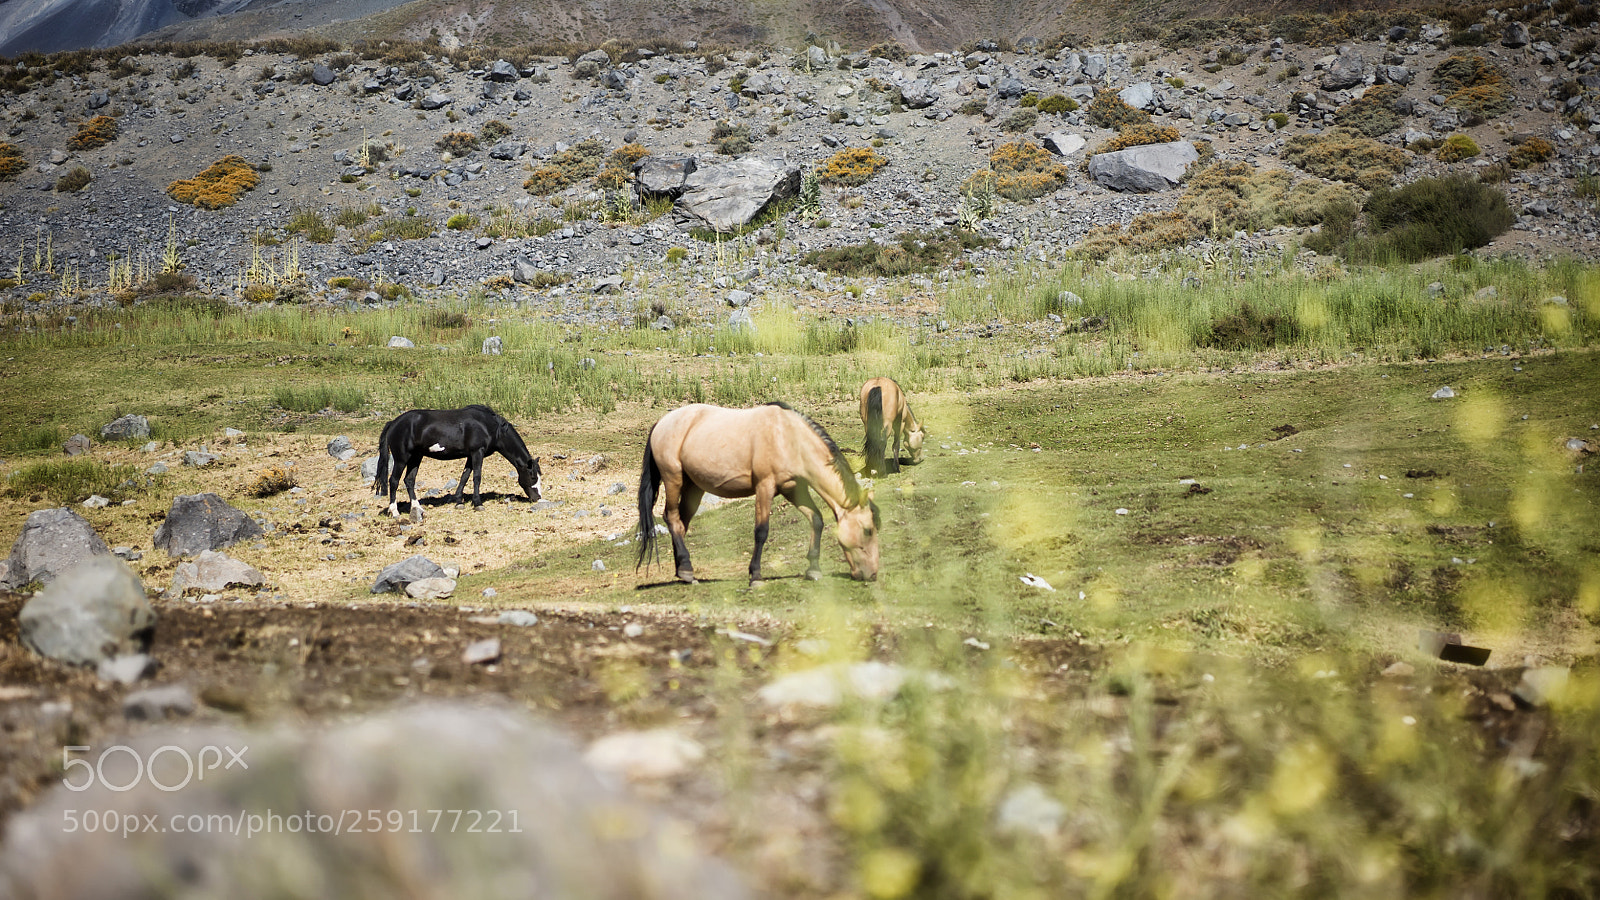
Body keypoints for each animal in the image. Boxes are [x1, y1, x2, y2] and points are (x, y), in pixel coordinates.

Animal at [373, 404, 542, 522]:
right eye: (533, 477)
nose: (538, 498)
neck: (489, 427)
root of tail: (394, 423)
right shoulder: (477, 453)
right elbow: (476, 477)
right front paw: (477, 503)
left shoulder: (470, 455)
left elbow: (464, 476)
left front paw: (458, 501)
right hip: (402, 459)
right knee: (394, 481)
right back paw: (395, 512)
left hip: (416, 458)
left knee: (409, 480)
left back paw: (417, 507)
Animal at [636, 402, 880, 585]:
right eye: (867, 530)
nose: (872, 574)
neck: (789, 438)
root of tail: (661, 423)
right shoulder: (765, 487)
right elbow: (761, 531)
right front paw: (755, 575)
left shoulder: (793, 489)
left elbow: (816, 519)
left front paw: (813, 569)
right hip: (673, 479)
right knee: (671, 518)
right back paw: (686, 569)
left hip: (693, 487)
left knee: (681, 522)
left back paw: (683, 570)